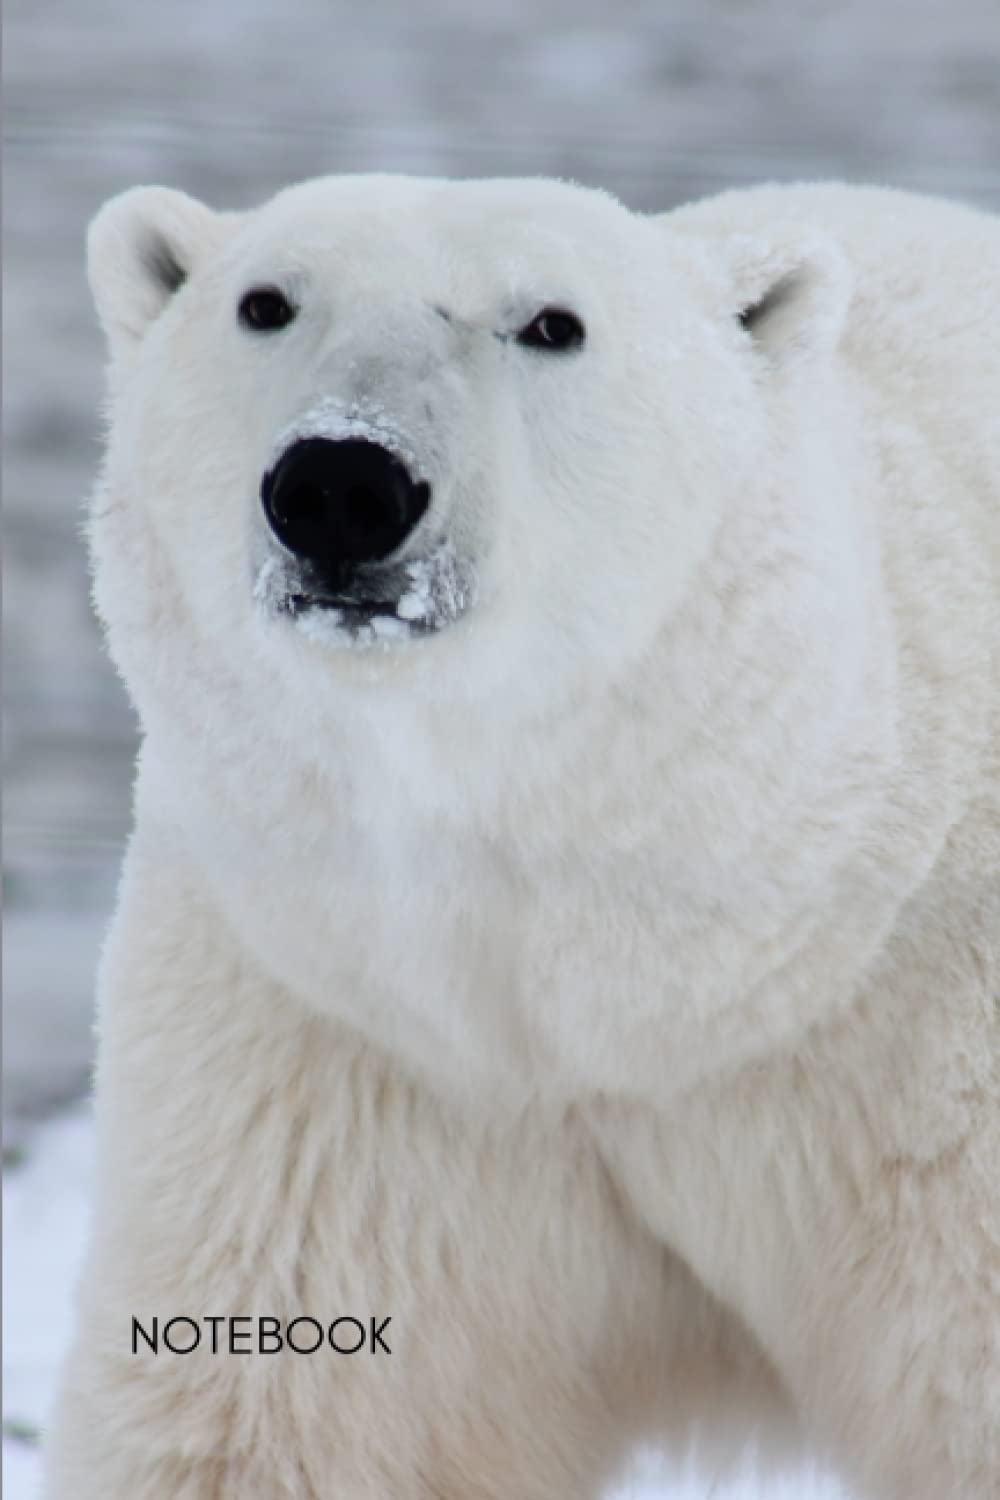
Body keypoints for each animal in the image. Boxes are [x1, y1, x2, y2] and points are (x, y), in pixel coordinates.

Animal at [43, 173, 998, 1500]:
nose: (342, 485)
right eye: (265, 301)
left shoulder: (926, 1064)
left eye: (551, 323)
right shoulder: (340, 1046)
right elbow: (286, 1406)